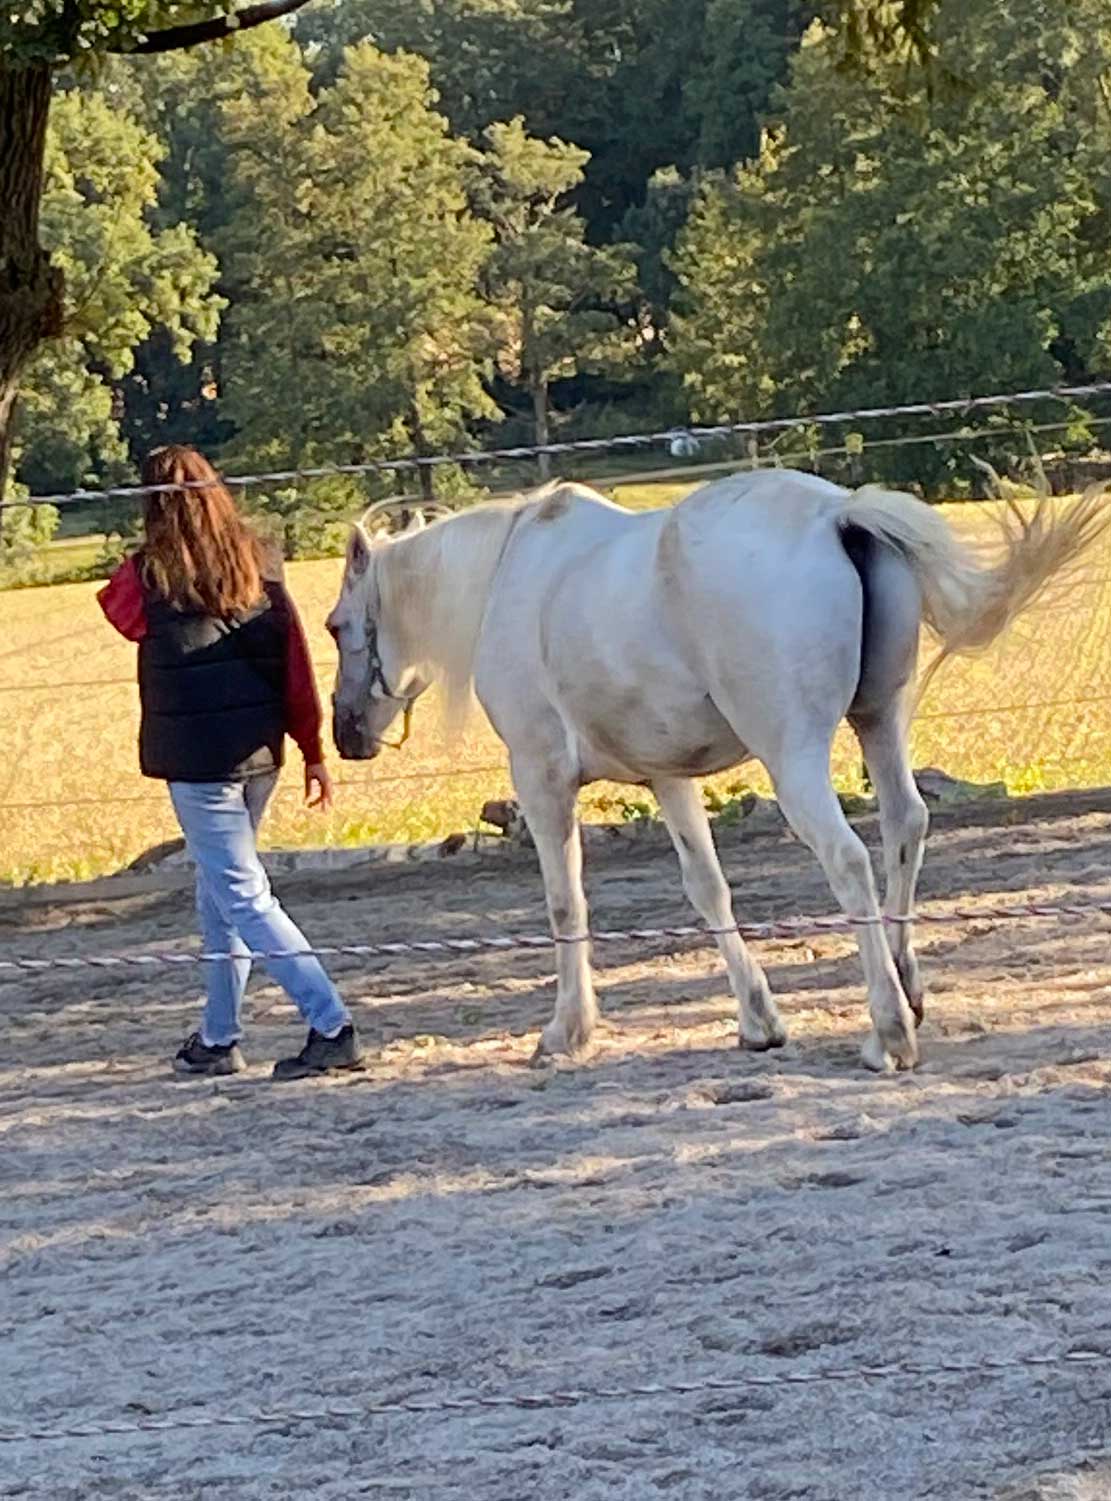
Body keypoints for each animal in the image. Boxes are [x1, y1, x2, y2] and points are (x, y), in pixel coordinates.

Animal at [322, 468, 1104, 1068]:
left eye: (334, 626)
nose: (345, 733)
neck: (507, 581)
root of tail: (836, 515)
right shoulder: (667, 777)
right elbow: (708, 890)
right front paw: (758, 1021)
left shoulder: (541, 778)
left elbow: (564, 903)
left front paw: (566, 1031)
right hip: (879, 722)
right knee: (904, 825)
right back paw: (908, 990)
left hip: (794, 759)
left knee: (848, 858)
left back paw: (887, 1034)